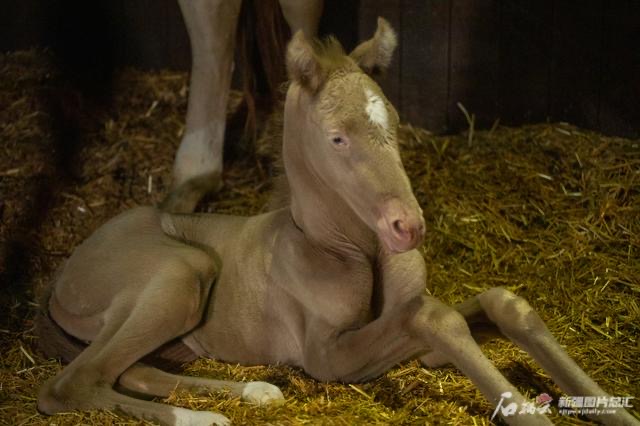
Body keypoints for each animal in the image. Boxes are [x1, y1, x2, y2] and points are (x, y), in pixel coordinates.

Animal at [37, 20, 636, 426]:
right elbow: (434, 315)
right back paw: (205, 416)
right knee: (70, 384)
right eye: (337, 139)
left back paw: (255, 392)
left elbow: (498, 304)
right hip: (182, 273)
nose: (407, 227)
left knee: (132, 368)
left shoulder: (411, 342)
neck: (346, 248)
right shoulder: (326, 357)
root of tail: (60, 279)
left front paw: (615, 411)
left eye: (394, 121)